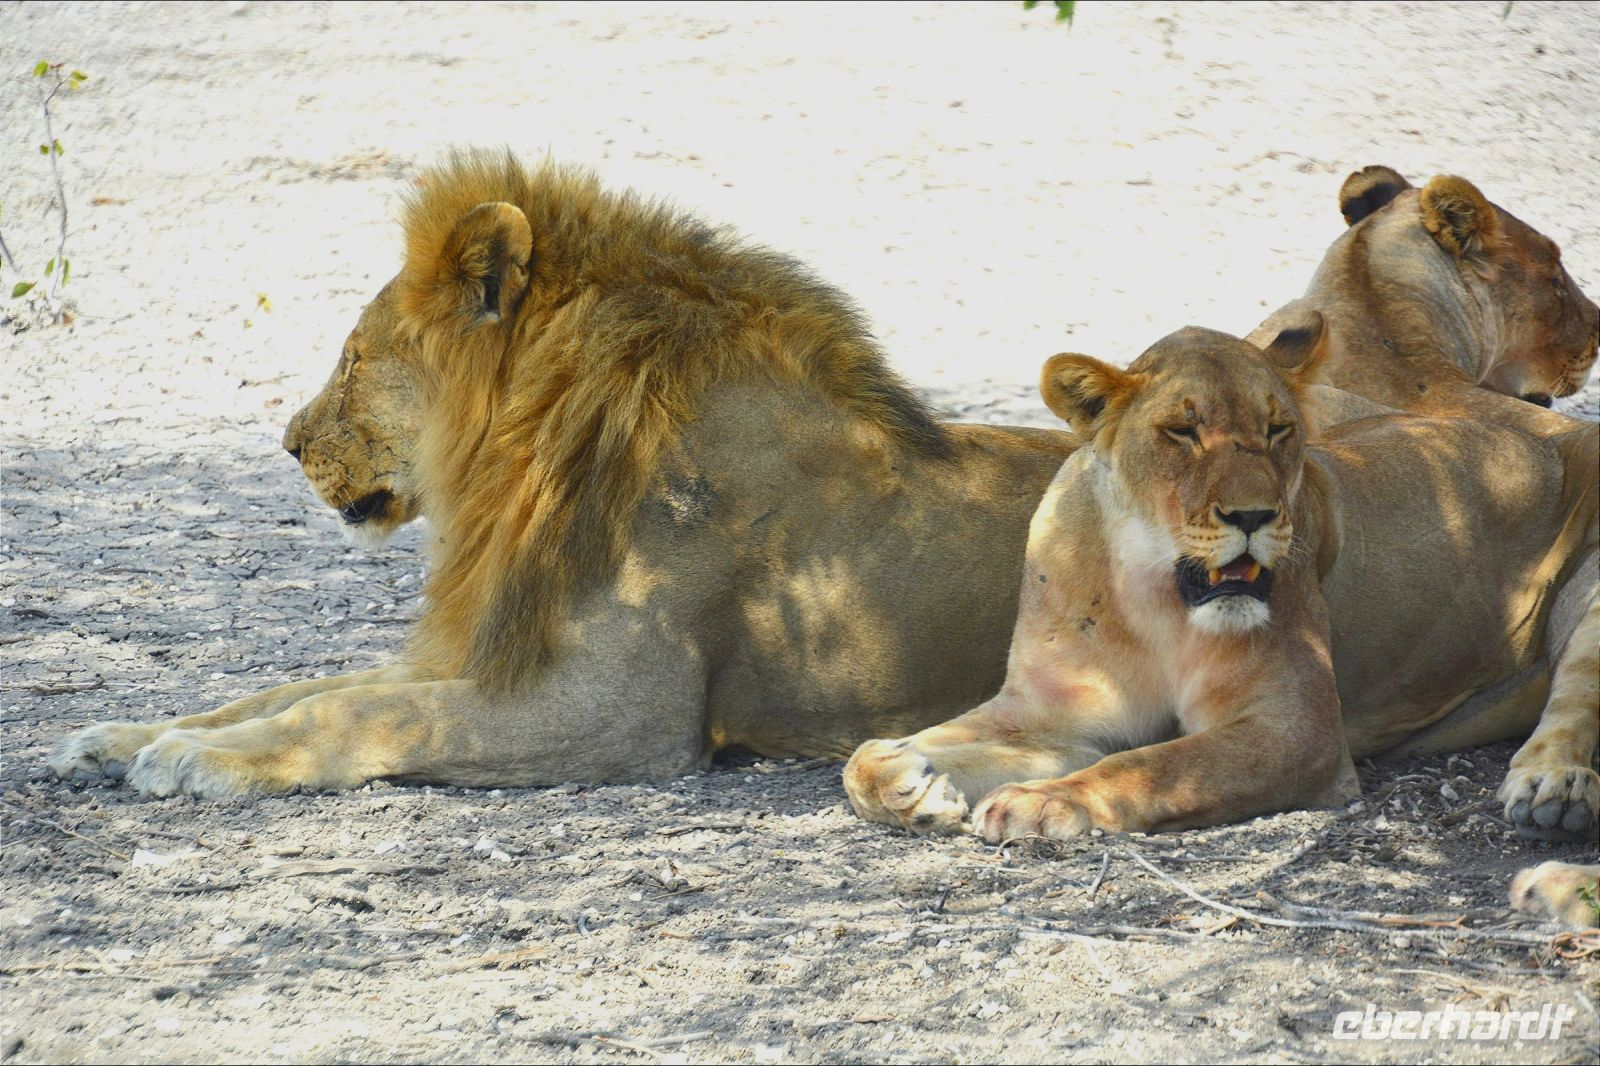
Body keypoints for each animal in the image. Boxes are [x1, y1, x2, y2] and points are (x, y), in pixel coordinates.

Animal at [48, 151, 1075, 795]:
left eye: (351, 361)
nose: (290, 443)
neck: (519, 469)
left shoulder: (616, 713)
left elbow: (363, 713)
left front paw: (191, 759)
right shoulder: (489, 647)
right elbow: (297, 689)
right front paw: (127, 736)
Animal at [844, 326, 1598, 922]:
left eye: (1278, 430)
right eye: (1183, 431)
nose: (1253, 516)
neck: (1149, 596)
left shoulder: (1297, 730)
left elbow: (1154, 764)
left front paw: (1042, 801)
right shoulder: (1050, 712)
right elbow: (861, 763)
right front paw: (914, 780)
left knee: (1571, 710)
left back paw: (1553, 794)